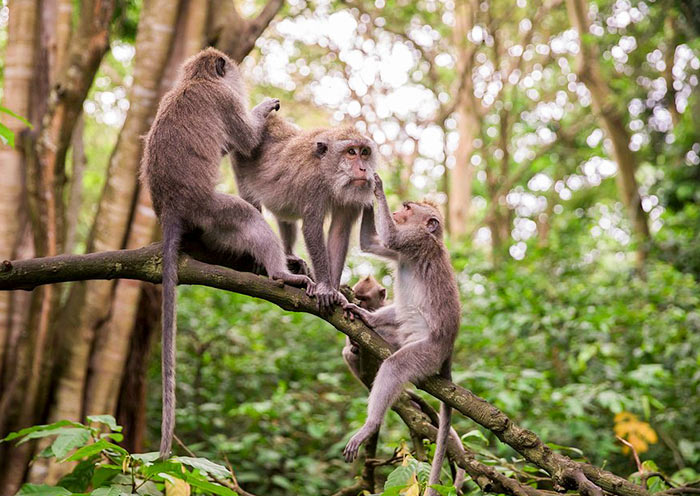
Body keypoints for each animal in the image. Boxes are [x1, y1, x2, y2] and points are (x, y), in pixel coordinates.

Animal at [140, 47, 313, 459]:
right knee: (246, 216)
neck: (195, 80)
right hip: (210, 209)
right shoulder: (225, 101)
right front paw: (264, 107)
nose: (241, 80)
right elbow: (247, 141)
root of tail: (170, 209)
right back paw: (281, 273)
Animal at [231, 113, 378, 313]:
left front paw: (335, 291)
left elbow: (339, 232)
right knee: (251, 203)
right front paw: (325, 287)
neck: (327, 171)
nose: (363, 169)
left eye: (364, 152)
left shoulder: (353, 192)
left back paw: (289, 255)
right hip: (241, 161)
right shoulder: (312, 183)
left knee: (283, 213)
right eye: (351, 152)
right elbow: (312, 227)